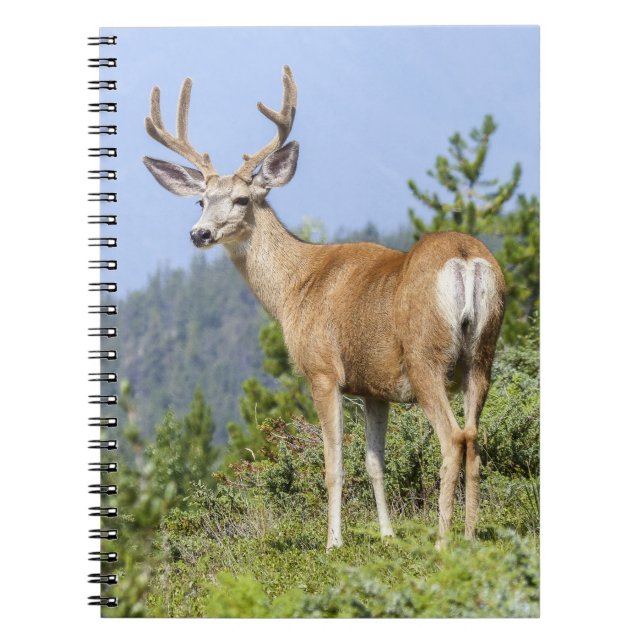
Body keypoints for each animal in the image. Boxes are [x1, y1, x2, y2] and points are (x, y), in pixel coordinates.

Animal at [143, 66, 505, 550]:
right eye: (201, 200)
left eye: (241, 199)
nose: (199, 233)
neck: (294, 288)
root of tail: (465, 259)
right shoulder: (374, 386)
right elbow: (374, 462)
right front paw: (387, 534)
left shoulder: (322, 370)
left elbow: (333, 465)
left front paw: (333, 542)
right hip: (482, 353)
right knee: (475, 438)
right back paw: (469, 535)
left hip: (426, 355)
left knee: (453, 438)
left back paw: (443, 540)